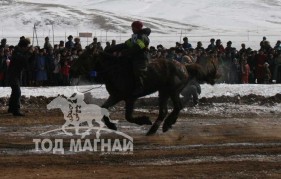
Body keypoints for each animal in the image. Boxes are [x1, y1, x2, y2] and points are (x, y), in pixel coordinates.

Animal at [69, 49, 217, 135]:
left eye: (84, 57)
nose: (72, 70)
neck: (115, 70)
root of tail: (184, 66)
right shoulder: (115, 96)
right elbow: (103, 108)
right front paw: (112, 125)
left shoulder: (129, 98)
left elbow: (128, 116)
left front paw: (144, 120)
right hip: (164, 92)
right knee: (165, 110)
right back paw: (156, 129)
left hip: (172, 91)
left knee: (177, 107)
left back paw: (166, 124)